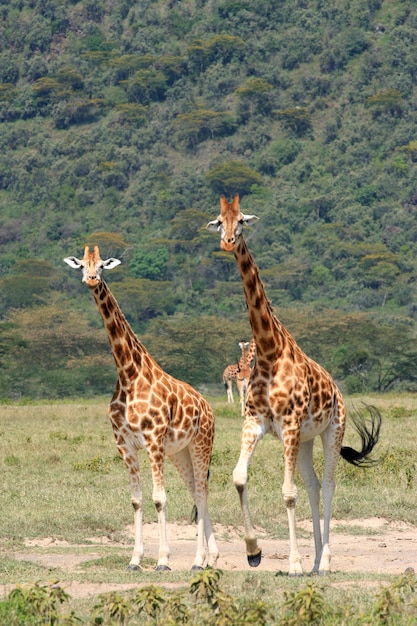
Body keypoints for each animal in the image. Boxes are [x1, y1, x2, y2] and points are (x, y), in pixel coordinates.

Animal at [63, 244, 219, 572]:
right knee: (196, 492)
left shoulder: (154, 440)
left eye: (102, 265)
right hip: (180, 452)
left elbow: (160, 498)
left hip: (201, 443)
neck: (128, 374)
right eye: (82, 264)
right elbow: (136, 499)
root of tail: (208, 407)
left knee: (201, 492)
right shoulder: (124, 443)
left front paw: (162, 560)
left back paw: (198, 560)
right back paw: (211, 557)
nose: (91, 279)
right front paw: (135, 559)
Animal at [206, 195, 380, 576]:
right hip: (305, 440)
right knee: (313, 485)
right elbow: (239, 477)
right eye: (219, 220)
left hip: (332, 430)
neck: (270, 353)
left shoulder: (287, 425)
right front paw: (254, 550)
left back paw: (324, 561)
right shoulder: (255, 422)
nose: (227, 242)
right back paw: (316, 558)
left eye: (242, 220)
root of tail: (338, 392)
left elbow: (288, 493)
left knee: (327, 485)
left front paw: (295, 564)